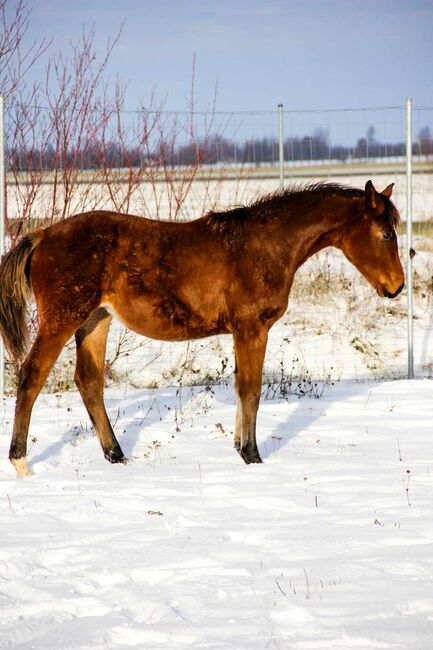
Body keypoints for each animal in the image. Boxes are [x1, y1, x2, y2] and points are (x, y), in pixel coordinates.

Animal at [1, 178, 404, 476]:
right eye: (386, 234)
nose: (396, 286)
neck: (265, 245)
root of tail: (43, 235)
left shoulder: (244, 332)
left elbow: (242, 388)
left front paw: (241, 449)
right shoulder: (251, 328)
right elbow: (251, 390)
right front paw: (252, 455)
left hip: (94, 321)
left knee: (89, 382)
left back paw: (116, 455)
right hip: (62, 319)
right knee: (32, 375)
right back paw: (21, 463)